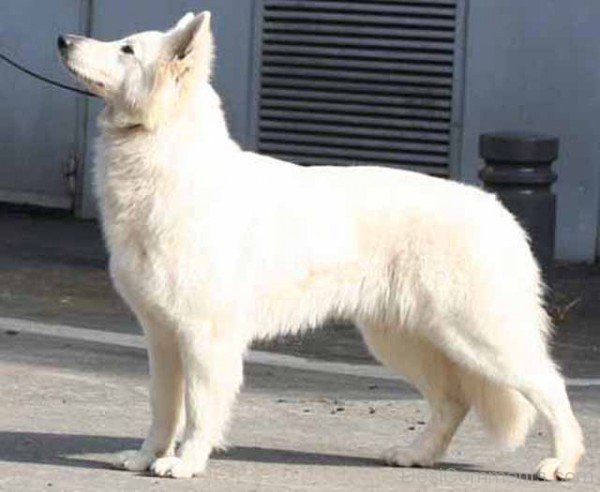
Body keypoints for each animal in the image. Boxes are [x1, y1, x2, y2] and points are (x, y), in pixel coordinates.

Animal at [58, 10, 584, 480]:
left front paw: (186, 463)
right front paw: (146, 458)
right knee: (454, 400)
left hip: (478, 337)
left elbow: (199, 409)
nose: (63, 39)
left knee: (550, 385)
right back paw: (417, 454)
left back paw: (562, 461)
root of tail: (498, 211)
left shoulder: (203, 336)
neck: (168, 158)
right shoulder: (162, 336)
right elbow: (163, 408)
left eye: (127, 49)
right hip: (403, 339)